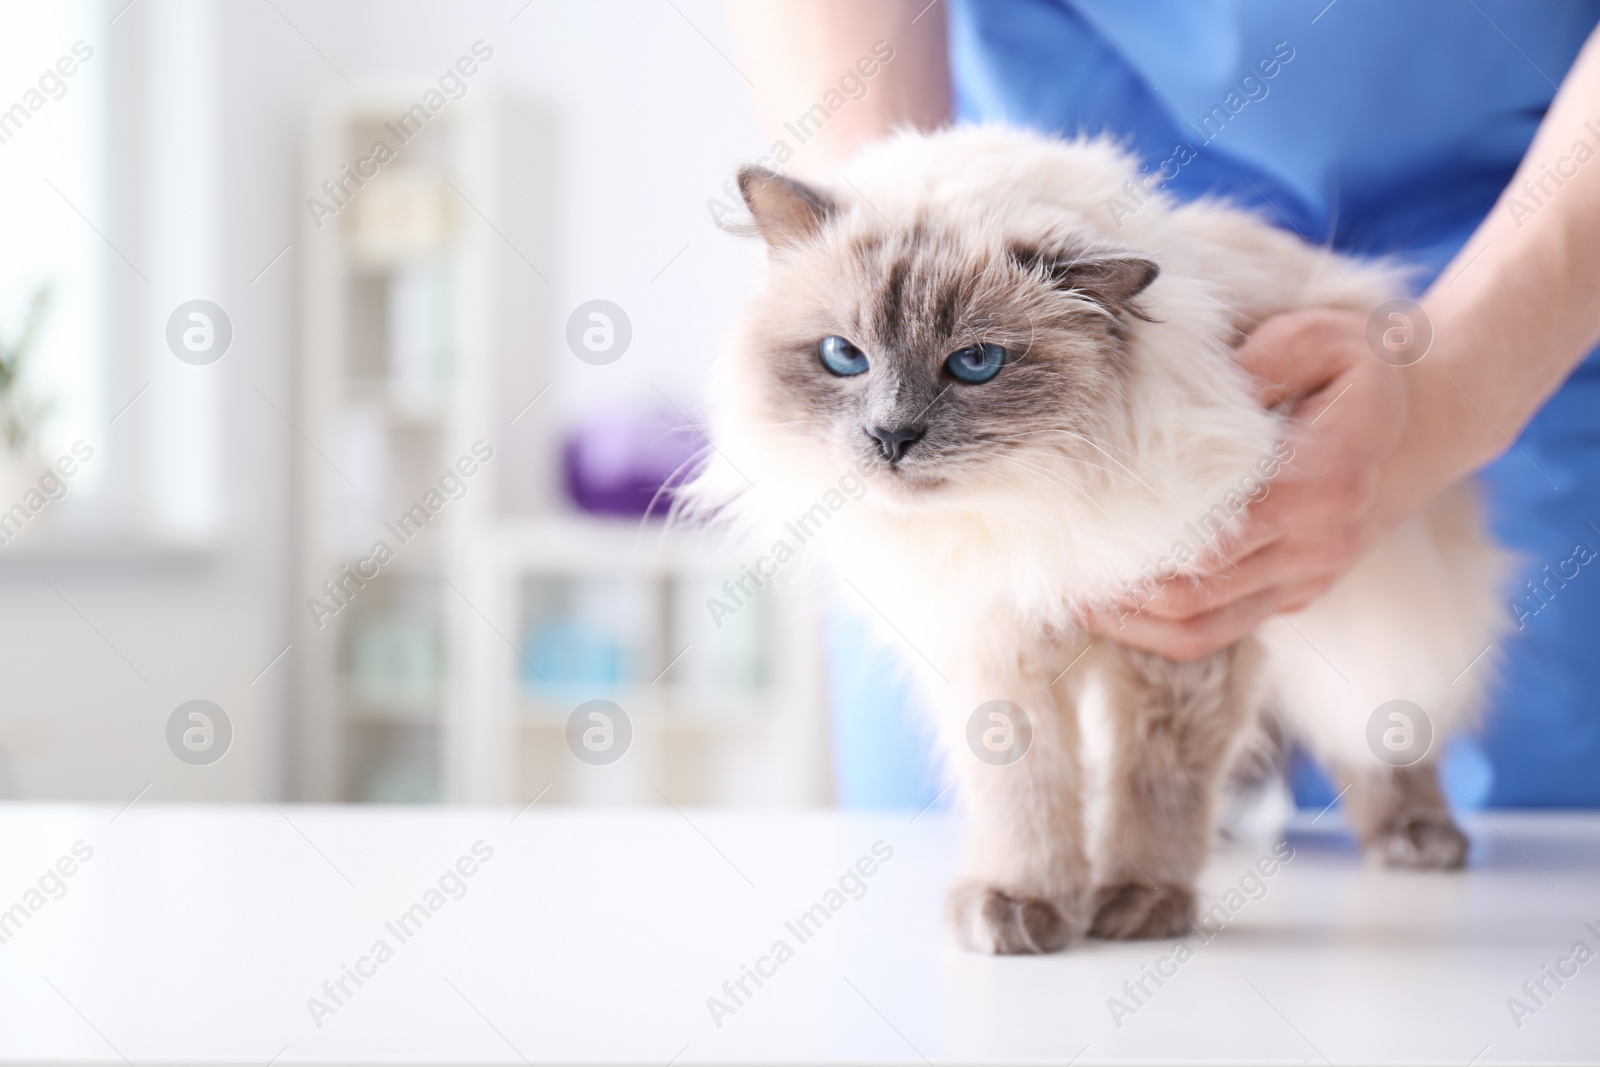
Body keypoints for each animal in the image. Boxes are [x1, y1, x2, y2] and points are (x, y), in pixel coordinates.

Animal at [688, 125, 1510, 953]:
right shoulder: (1000, 647)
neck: (1026, 510)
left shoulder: (1182, 642)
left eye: (975, 363)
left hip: (1370, 617)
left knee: (1382, 729)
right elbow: (1028, 792)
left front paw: (1139, 903)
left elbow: (1154, 783)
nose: (891, 436)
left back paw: (1416, 837)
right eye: (843, 356)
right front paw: (1024, 902)